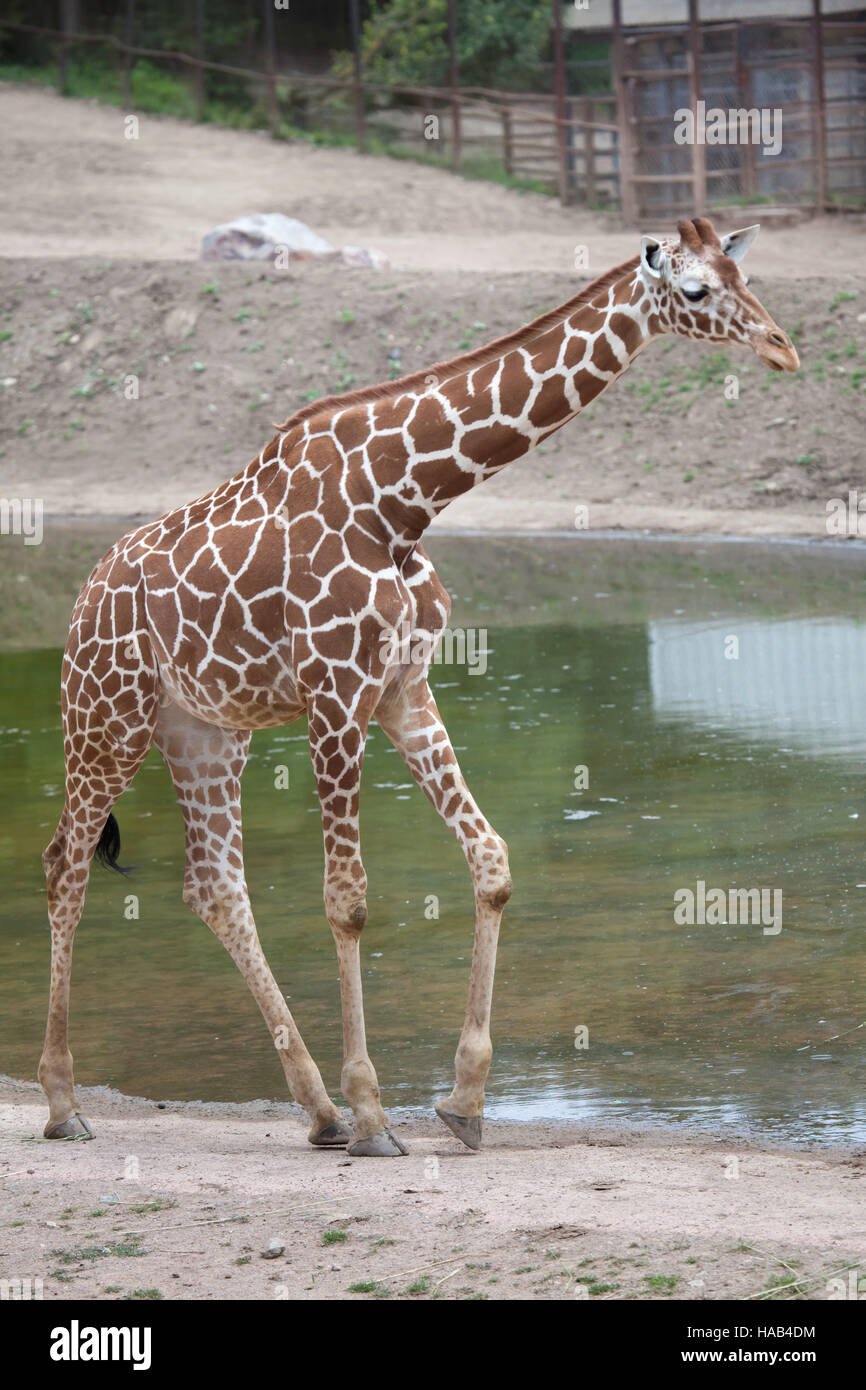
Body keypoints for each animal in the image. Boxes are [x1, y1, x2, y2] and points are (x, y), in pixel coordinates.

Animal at [40, 216, 800, 1150]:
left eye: (745, 273)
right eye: (695, 290)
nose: (783, 348)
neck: (403, 498)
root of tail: (82, 602)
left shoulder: (403, 690)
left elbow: (491, 860)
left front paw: (462, 1099)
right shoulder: (335, 694)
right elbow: (348, 901)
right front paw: (376, 1113)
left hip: (204, 731)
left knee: (213, 885)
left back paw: (317, 1112)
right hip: (106, 716)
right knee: (65, 864)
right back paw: (66, 1104)